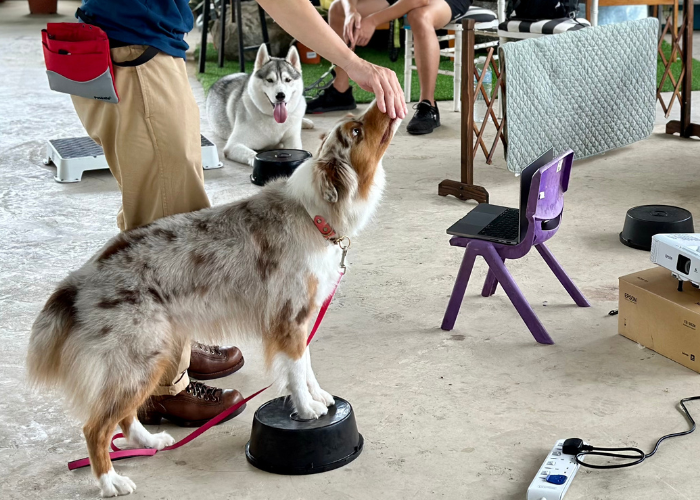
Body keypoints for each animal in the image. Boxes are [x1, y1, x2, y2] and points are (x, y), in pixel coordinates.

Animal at [27, 100, 402, 496]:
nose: (385, 102)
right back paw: (111, 481)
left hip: (151, 354)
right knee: (95, 426)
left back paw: (150, 442)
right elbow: (296, 370)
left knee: (124, 415)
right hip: (140, 356)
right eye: (357, 131)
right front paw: (307, 409)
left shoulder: (301, 318)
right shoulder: (289, 317)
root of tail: (80, 277)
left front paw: (318, 396)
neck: (313, 214)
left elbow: (305, 364)